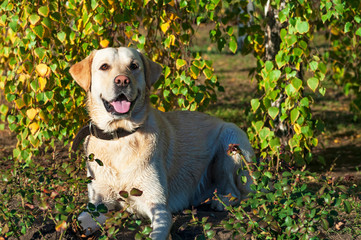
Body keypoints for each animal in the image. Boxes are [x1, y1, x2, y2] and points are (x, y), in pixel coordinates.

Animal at [69, 46, 255, 238]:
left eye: (134, 66)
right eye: (104, 66)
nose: (122, 80)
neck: (120, 137)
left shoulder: (158, 206)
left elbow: (157, 234)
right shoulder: (98, 204)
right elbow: (78, 219)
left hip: (230, 139)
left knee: (238, 192)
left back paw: (222, 201)